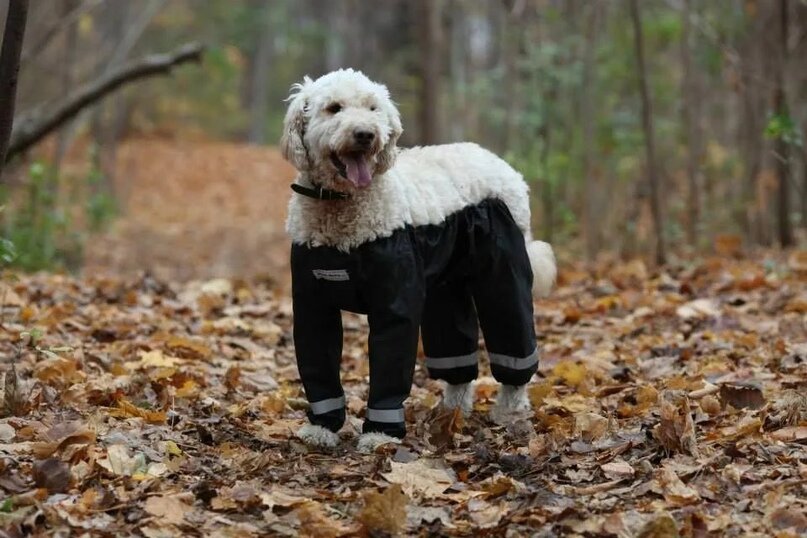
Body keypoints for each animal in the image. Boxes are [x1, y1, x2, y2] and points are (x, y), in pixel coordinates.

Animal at [282, 69, 556, 450]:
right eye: (334, 108)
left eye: (373, 108)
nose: (366, 134)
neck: (341, 205)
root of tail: (503, 165)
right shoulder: (313, 305)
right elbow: (318, 366)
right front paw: (321, 429)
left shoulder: (395, 304)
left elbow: (390, 366)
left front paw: (380, 435)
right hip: (446, 288)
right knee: (456, 361)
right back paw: (450, 413)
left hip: (503, 277)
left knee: (514, 344)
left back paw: (509, 412)